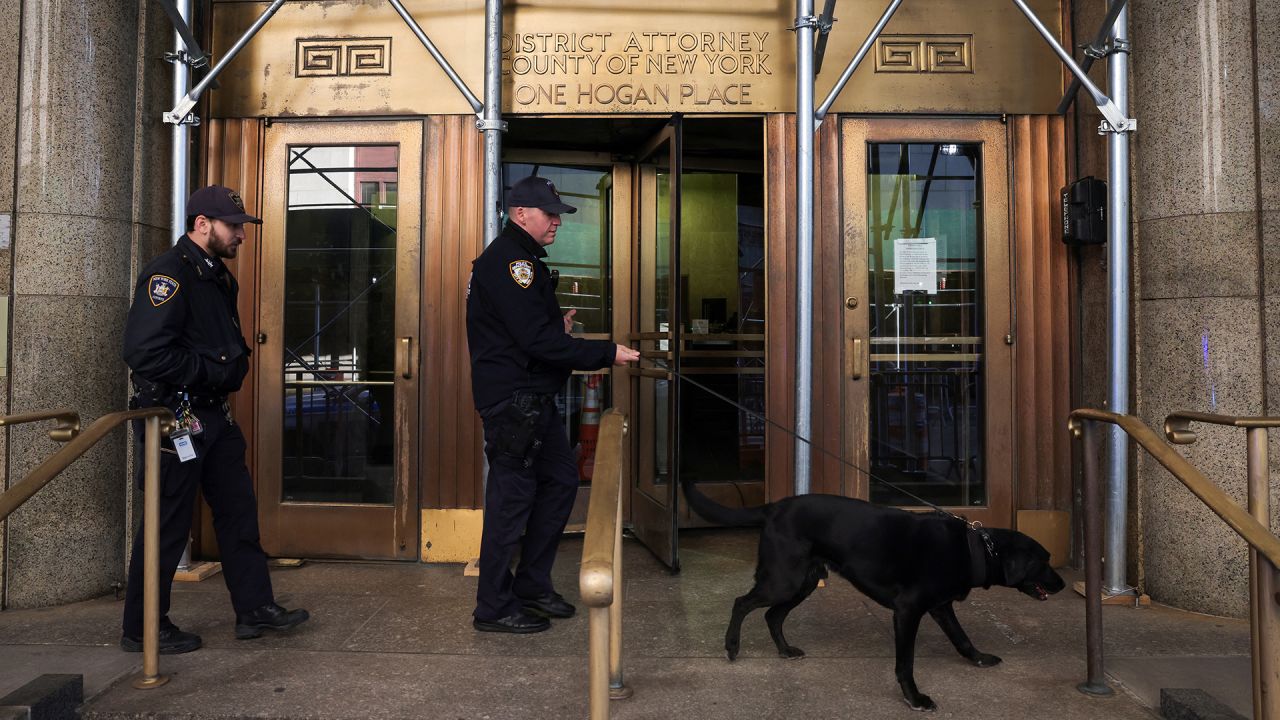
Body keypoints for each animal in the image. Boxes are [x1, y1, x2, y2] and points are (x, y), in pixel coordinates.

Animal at [686, 479, 1064, 707]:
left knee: (771, 614)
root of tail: (775, 506)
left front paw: (979, 658)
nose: (1061, 584)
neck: (975, 548)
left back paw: (785, 650)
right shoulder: (908, 611)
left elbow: (962, 638)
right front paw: (914, 698)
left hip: (802, 582)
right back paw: (732, 646)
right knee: (742, 603)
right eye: (1045, 561)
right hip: (784, 580)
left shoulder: (941, 607)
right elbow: (905, 662)